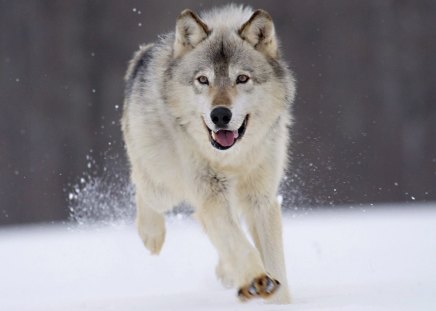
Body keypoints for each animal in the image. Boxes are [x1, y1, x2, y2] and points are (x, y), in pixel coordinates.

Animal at [121, 3, 294, 304]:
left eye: (242, 78)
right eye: (203, 80)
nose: (220, 115)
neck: (233, 159)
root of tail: (143, 54)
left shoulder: (261, 199)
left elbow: (273, 261)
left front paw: (277, 299)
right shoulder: (211, 194)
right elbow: (240, 243)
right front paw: (256, 280)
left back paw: (228, 273)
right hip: (164, 186)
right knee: (143, 188)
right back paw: (151, 235)